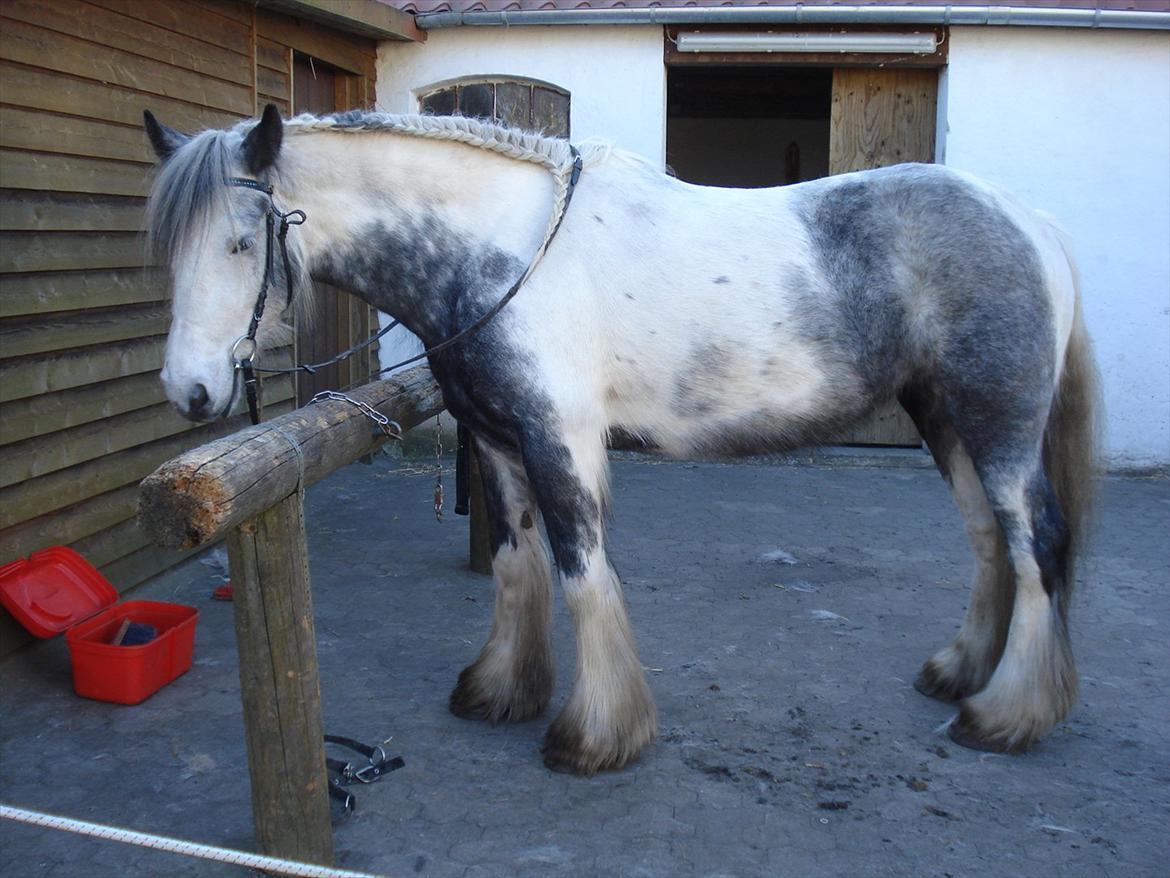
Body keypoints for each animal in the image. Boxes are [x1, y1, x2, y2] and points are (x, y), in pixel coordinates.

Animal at [143, 104, 1095, 777]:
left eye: (240, 243)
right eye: (169, 249)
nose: (190, 390)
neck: (500, 250)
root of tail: (1031, 222)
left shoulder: (560, 440)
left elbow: (581, 572)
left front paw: (596, 735)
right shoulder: (496, 441)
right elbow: (516, 564)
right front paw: (502, 690)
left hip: (997, 425)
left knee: (1035, 543)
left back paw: (1004, 715)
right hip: (945, 421)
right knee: (992, 543)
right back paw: (964, 672)